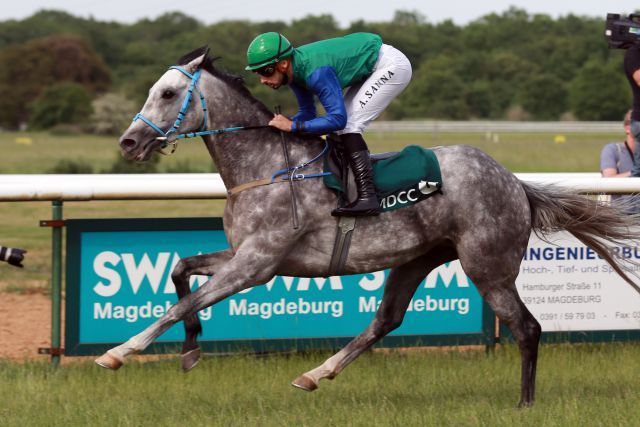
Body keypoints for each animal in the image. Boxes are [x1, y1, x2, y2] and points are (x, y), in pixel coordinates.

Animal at [97, 47, 640, 408]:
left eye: (168, 92)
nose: (128, 142)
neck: (267, 166)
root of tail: (513, 180)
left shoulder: (258, 263)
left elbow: (183, 300)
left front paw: (119, 352)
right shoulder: (243, 255)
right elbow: (180, 272)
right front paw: (190, 350)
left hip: (488, 267)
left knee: (527, 327)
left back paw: (524, 405)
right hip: (418, 259)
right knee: (386, 321)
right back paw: (315, 374)